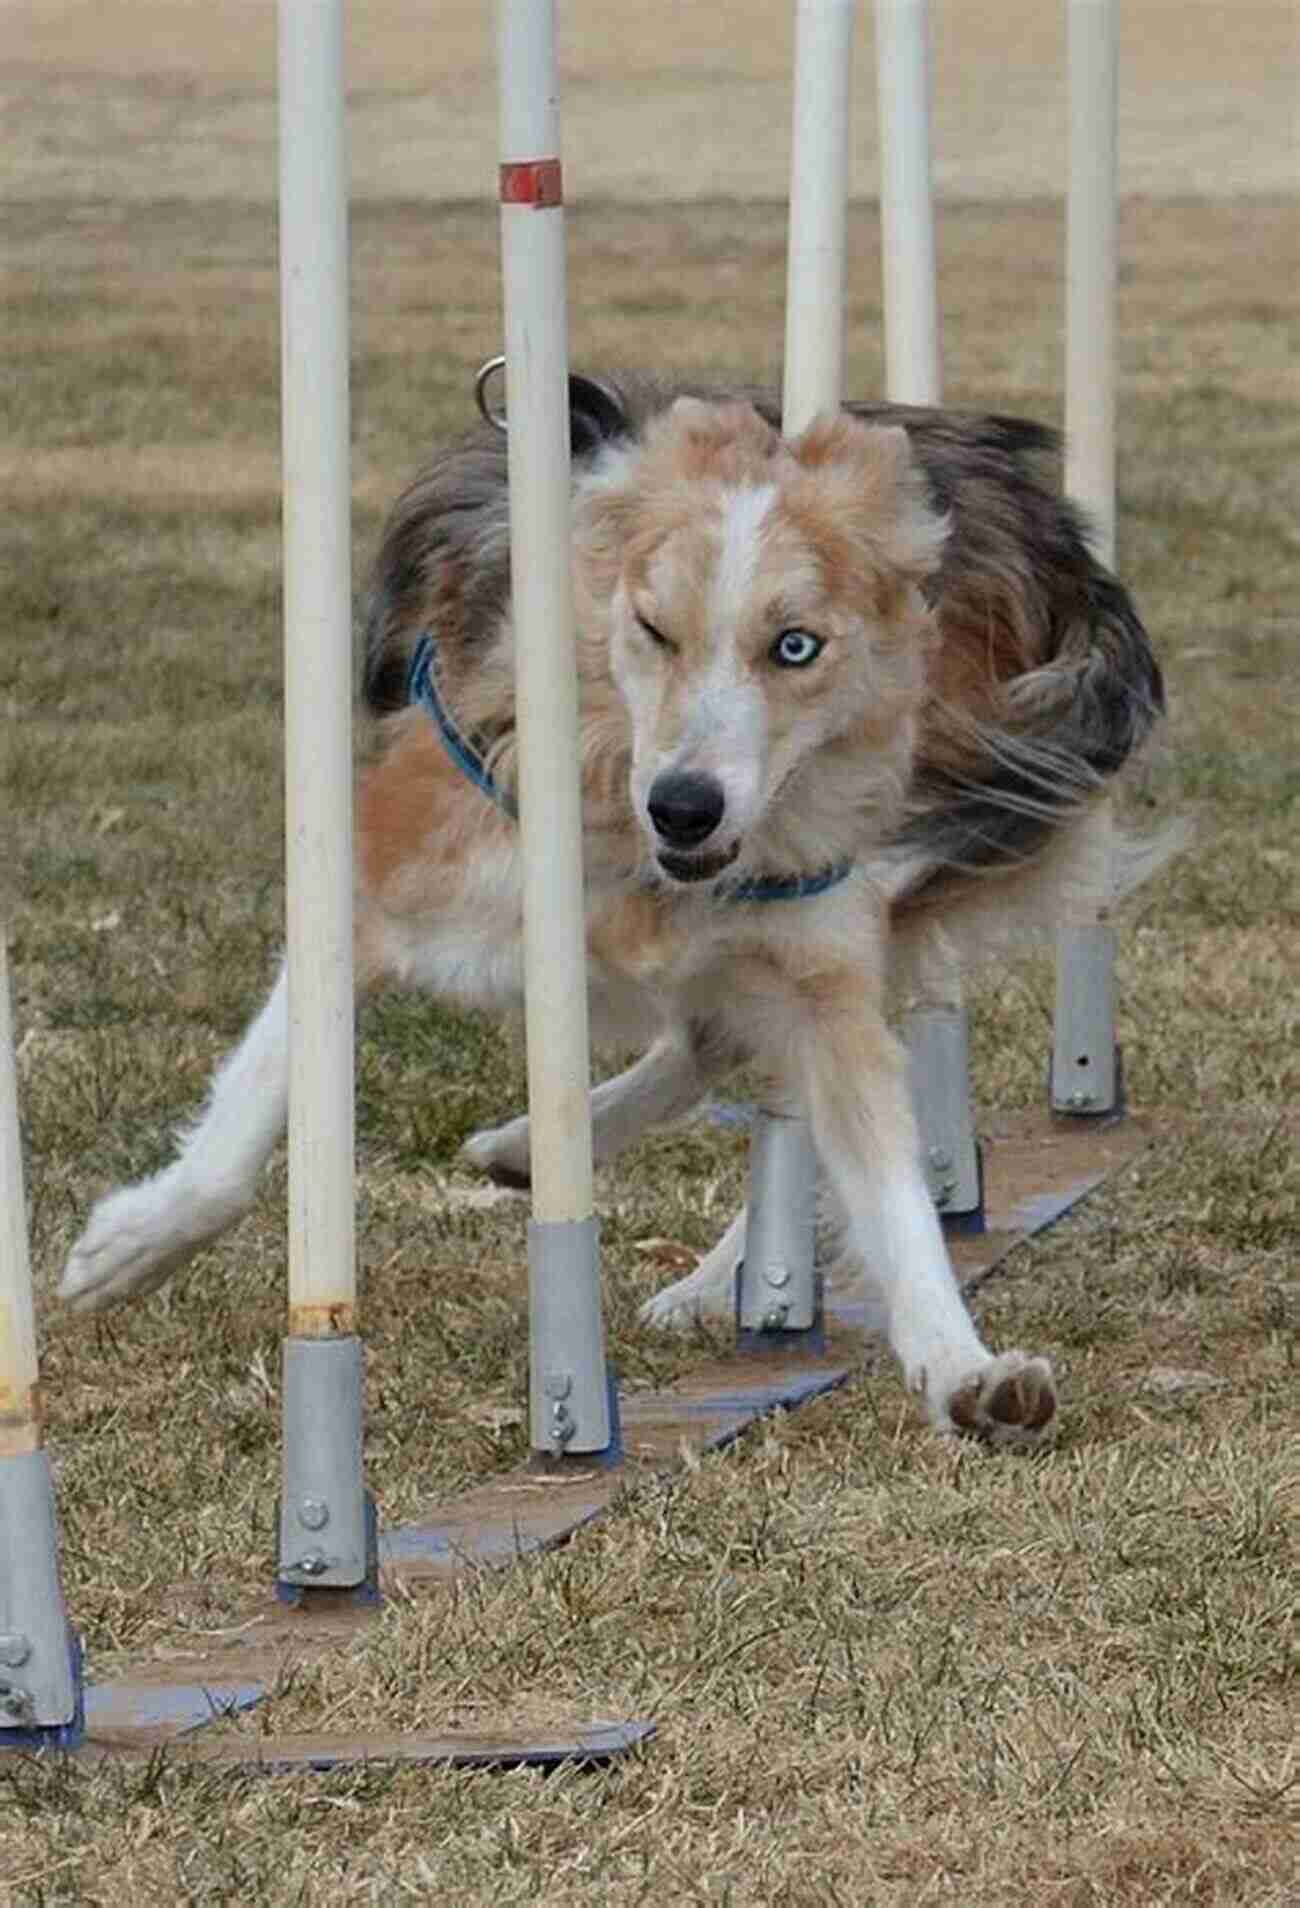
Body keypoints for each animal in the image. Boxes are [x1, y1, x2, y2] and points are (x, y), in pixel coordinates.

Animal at [58, 372, 1168, 1442]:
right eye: (653, 630)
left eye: (795, 648)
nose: (685, 804)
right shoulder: (376, 884)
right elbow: (253, 1111)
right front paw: (134, 1245)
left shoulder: (822, 962)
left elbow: (890, 1190)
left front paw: (963, 1369)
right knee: (710, 1040)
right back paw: (547, 1162)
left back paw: (692, 1255)